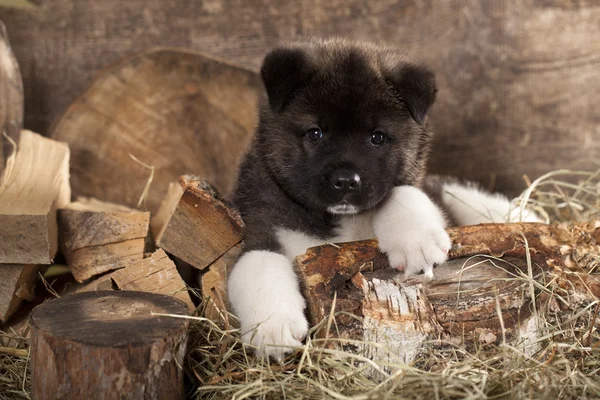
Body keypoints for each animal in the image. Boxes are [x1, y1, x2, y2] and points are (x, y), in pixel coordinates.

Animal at [226, 38, 540, 360]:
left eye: (377, 137)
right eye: (315, 133)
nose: (345, 181)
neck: (343, 219)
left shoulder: (417, 192)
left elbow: (403, 193)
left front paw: (417, 241)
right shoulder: (258, 225)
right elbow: (258, 261)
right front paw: (272, 326)